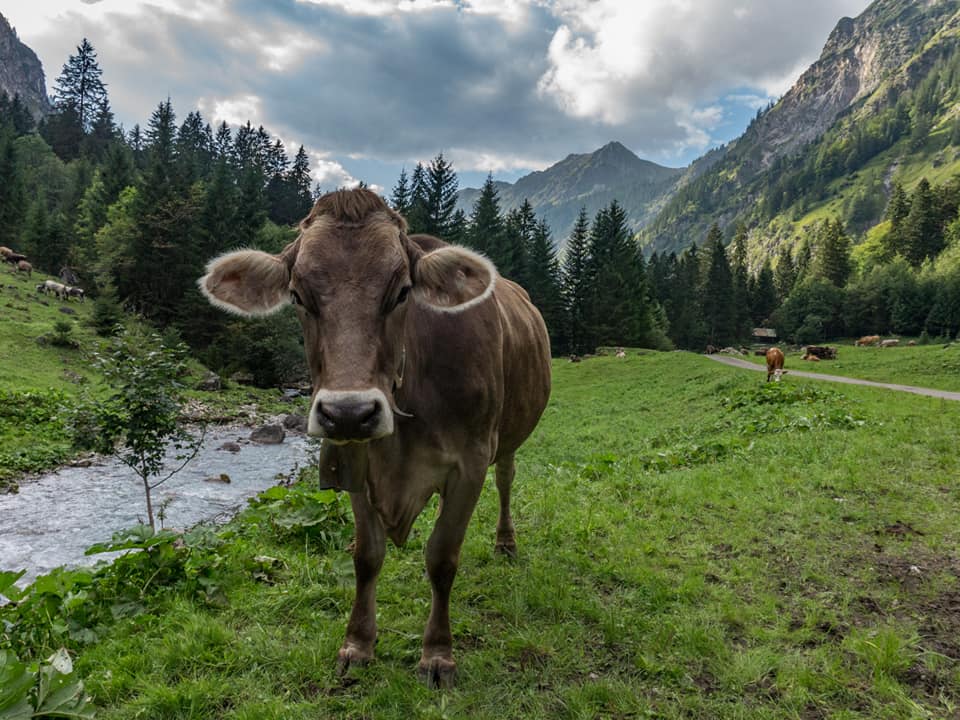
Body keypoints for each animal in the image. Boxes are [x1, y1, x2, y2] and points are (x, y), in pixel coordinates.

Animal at [199, 186, 552, 688]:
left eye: (402, 291)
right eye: (298, 295)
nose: (348, 413)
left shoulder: (470, 462)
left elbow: (442, 558)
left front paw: (437, 654)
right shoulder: (355, 460)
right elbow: (367, 556)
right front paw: (358, 644)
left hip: (508, 437)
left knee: (506, 479)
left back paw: (506, 543)